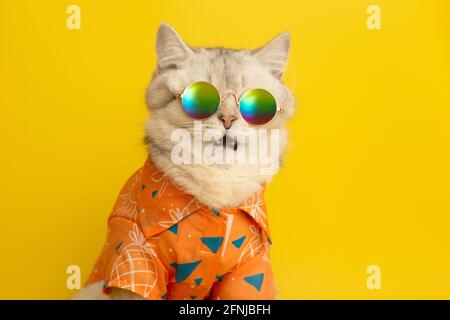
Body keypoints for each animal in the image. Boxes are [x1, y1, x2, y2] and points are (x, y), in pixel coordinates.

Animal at [74, 23, 296, 300]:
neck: (218, 182)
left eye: (255, 103)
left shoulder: (252, 267)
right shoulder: (132, 255)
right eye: (200, 99)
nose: (228, 119)